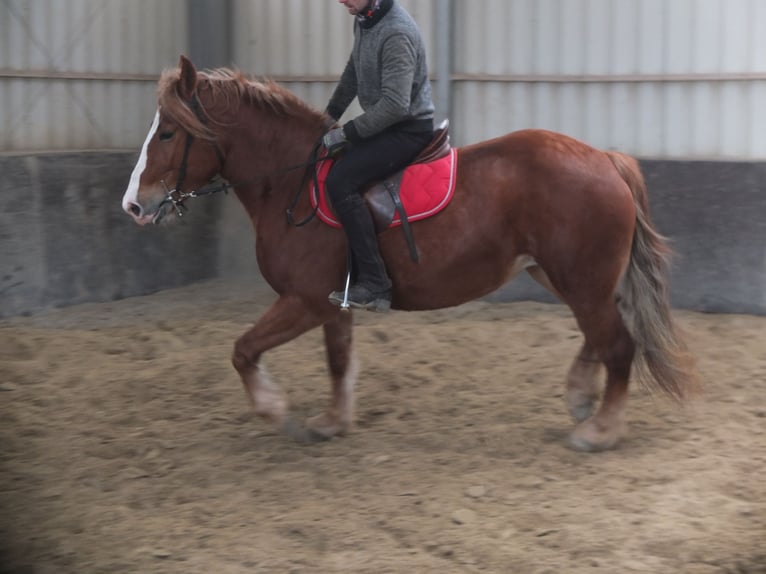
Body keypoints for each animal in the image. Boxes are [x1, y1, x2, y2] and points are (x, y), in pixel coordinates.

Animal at [121, 57, 704, 454]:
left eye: (168, 132)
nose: (133, 205)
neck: (292, 182)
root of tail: (605, 158)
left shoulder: (303, 300)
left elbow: (243, 350)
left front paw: (274, 409)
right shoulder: (332, 303)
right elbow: (338, 360)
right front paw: (332, 422)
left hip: (580, 278)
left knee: (618, 344)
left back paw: (599, 429)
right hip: (562, 275)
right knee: (601, 333)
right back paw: (581, 397)